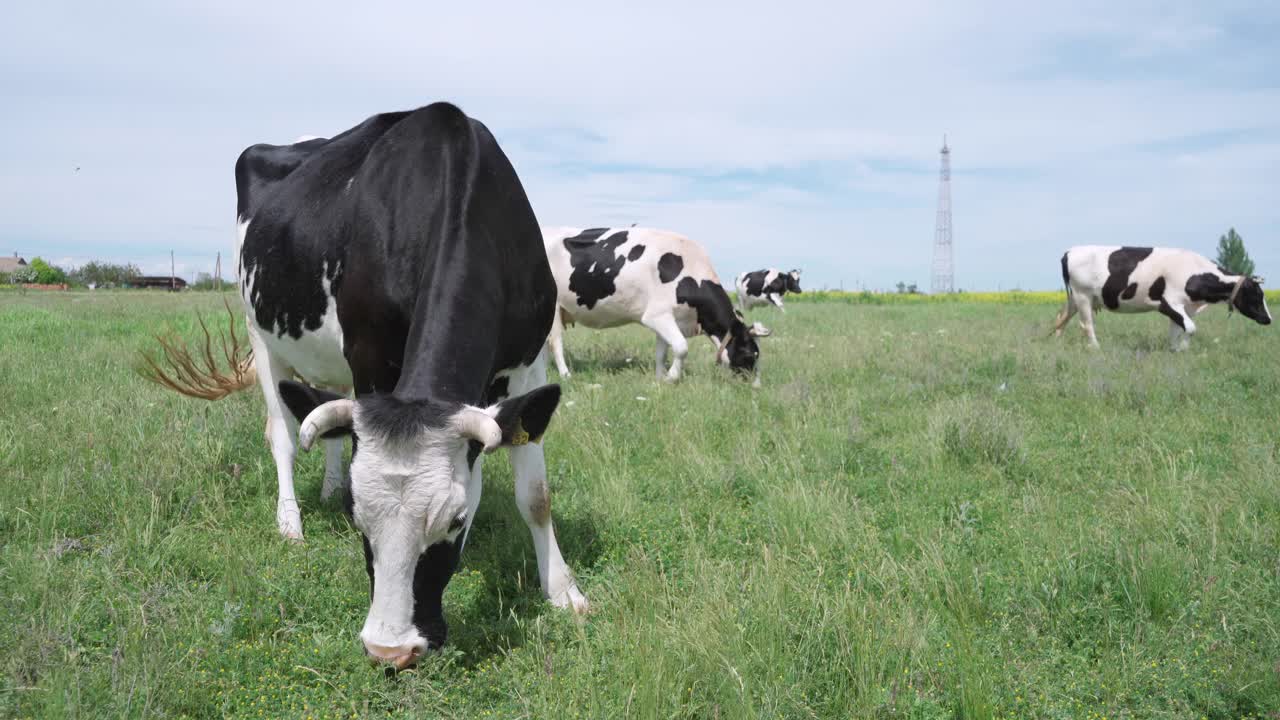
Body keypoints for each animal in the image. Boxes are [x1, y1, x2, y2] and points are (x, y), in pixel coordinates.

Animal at [144, 102, 588, 666]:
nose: (390, 650)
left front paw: (563, 591)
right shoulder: (370, 357)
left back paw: (330, 481)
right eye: (358, 520)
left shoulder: (530, 363)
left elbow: (535, 495)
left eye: (456, 521)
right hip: (260, 334)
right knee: (282, 435)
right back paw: (291, 522)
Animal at [542, 226, 768, 384]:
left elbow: (662, 351)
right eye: (749, 354)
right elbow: (681, 347)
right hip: (553, 308)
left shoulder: (667, 318)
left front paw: (659, 378)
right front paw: (671, 377)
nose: (755, 386)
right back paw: (565, 374)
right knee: (555, 342)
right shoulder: (656, 315)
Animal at [1049, 243, 1269, 351]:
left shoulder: (1185, 307)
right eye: (1257, 295)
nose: (1269, 319)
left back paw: (1057, 341)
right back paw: (1095, 347)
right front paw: (1182, 348)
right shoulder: (1168, 303)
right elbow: (1190, 328)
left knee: (1061, 318)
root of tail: (1070, 250)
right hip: (1083, 295)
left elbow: (1177, 329)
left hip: (1076, 298)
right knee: (1086, 324)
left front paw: (1175, 349)